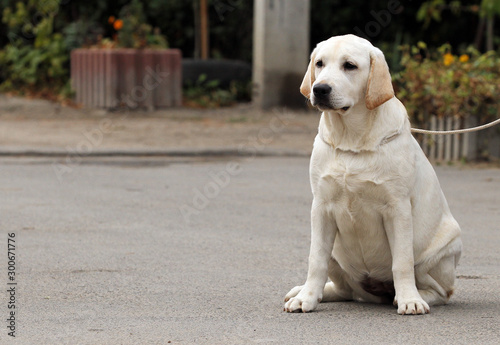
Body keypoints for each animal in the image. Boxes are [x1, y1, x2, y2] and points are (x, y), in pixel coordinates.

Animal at [284, 35, 462, 314]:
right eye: (320, 63)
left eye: (350, 66)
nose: (320, 89)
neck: (351, 140)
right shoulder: (321, 208)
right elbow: (315, 260)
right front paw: (307, 298)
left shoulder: (397, 209)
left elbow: (402, 262)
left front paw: (410, 300)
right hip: (337, 254)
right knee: (344, 290)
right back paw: (306, 291)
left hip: (442, 251)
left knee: (440, 291)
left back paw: (411, 296)